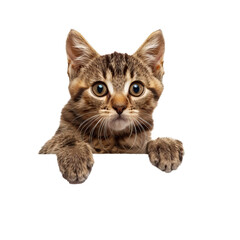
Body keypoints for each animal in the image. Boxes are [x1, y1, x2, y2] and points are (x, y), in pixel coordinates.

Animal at [39, 30, 185, 184]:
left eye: (136, 88)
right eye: (99, 88)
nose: (119, 107)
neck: (113, 139)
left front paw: (164, 144)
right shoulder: (46, 148)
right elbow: (65, 137)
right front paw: (75, 153)